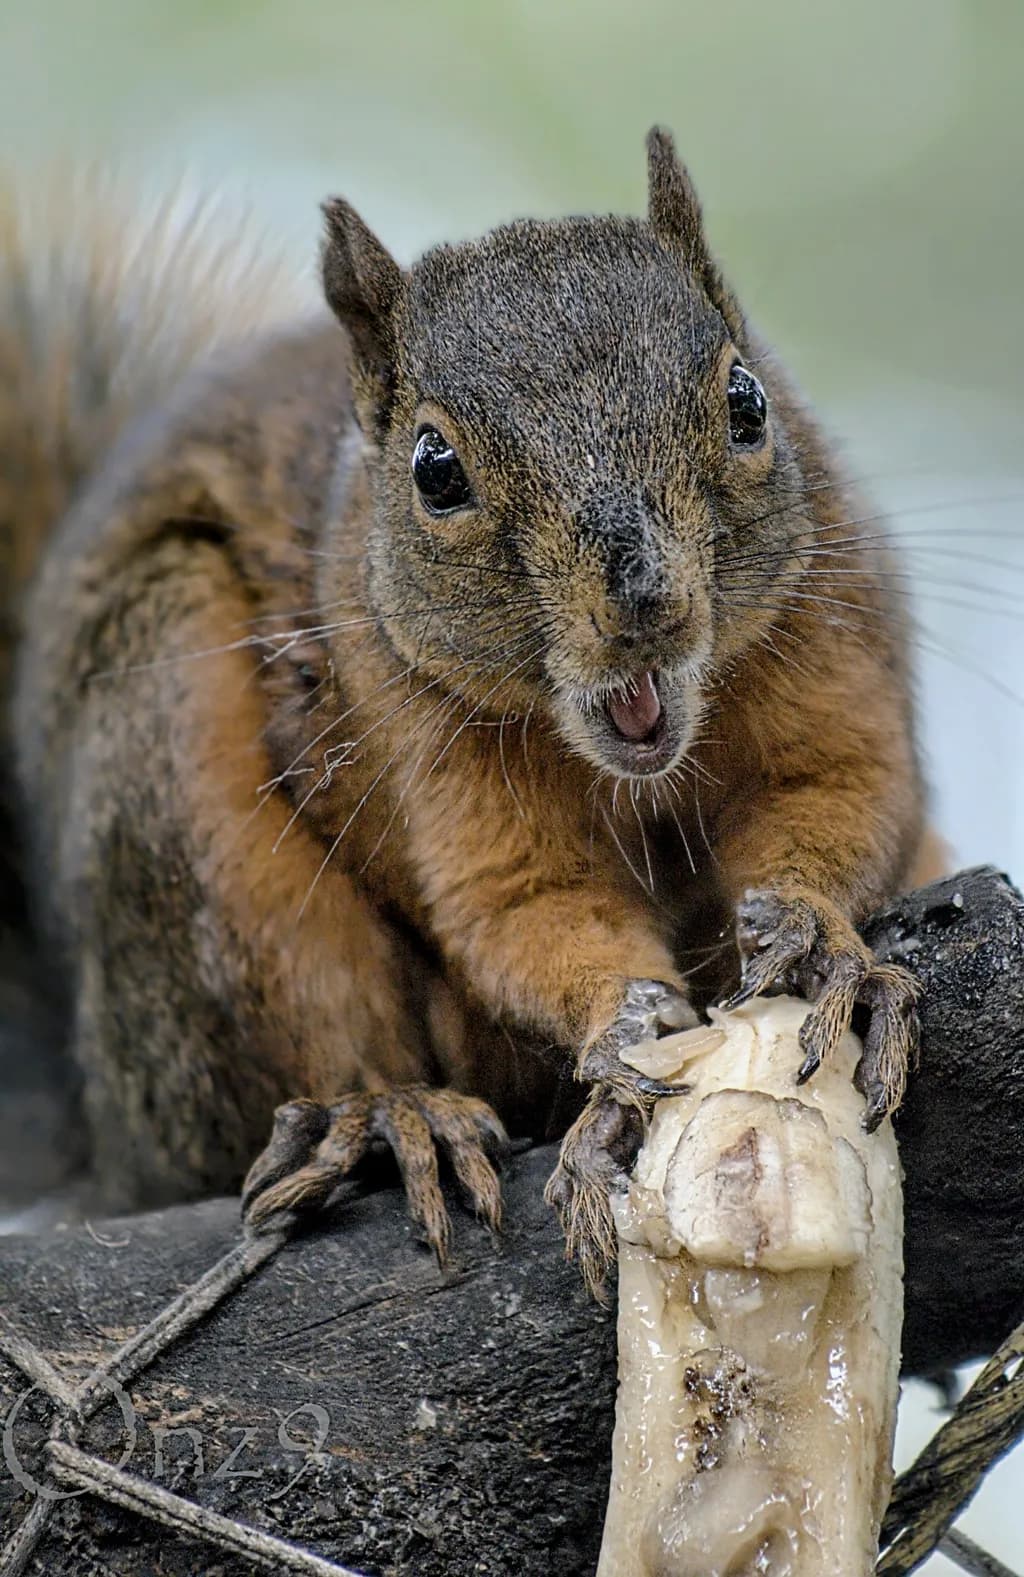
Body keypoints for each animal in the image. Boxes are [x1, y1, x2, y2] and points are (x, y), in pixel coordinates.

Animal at [0, 131, 940, 1288]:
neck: (637, 767)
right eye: (433, 469)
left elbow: (842, 789)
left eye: (747, 402)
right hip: (177, 764)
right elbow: (523, 906)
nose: (642, 600)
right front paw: (620, 1041)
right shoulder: (428, 736)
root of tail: (108, 1122)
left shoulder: (830, 621)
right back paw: (384, 1115)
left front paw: (820, 940)